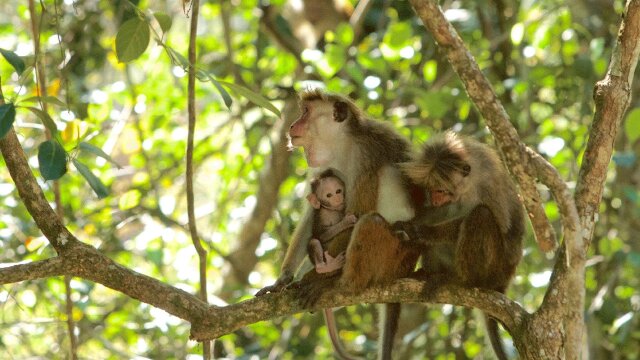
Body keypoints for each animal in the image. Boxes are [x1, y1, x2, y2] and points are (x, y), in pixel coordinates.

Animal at [258, 89, 422, 360]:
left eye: (305, 112)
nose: (292, 125)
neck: (342, 145)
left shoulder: (366, 156)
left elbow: (358, 213)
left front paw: (316, 278)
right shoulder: (323, 166)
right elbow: (312, 215)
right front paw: (283, 280)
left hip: (395, 255)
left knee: (370, 221)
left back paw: (336, 282)